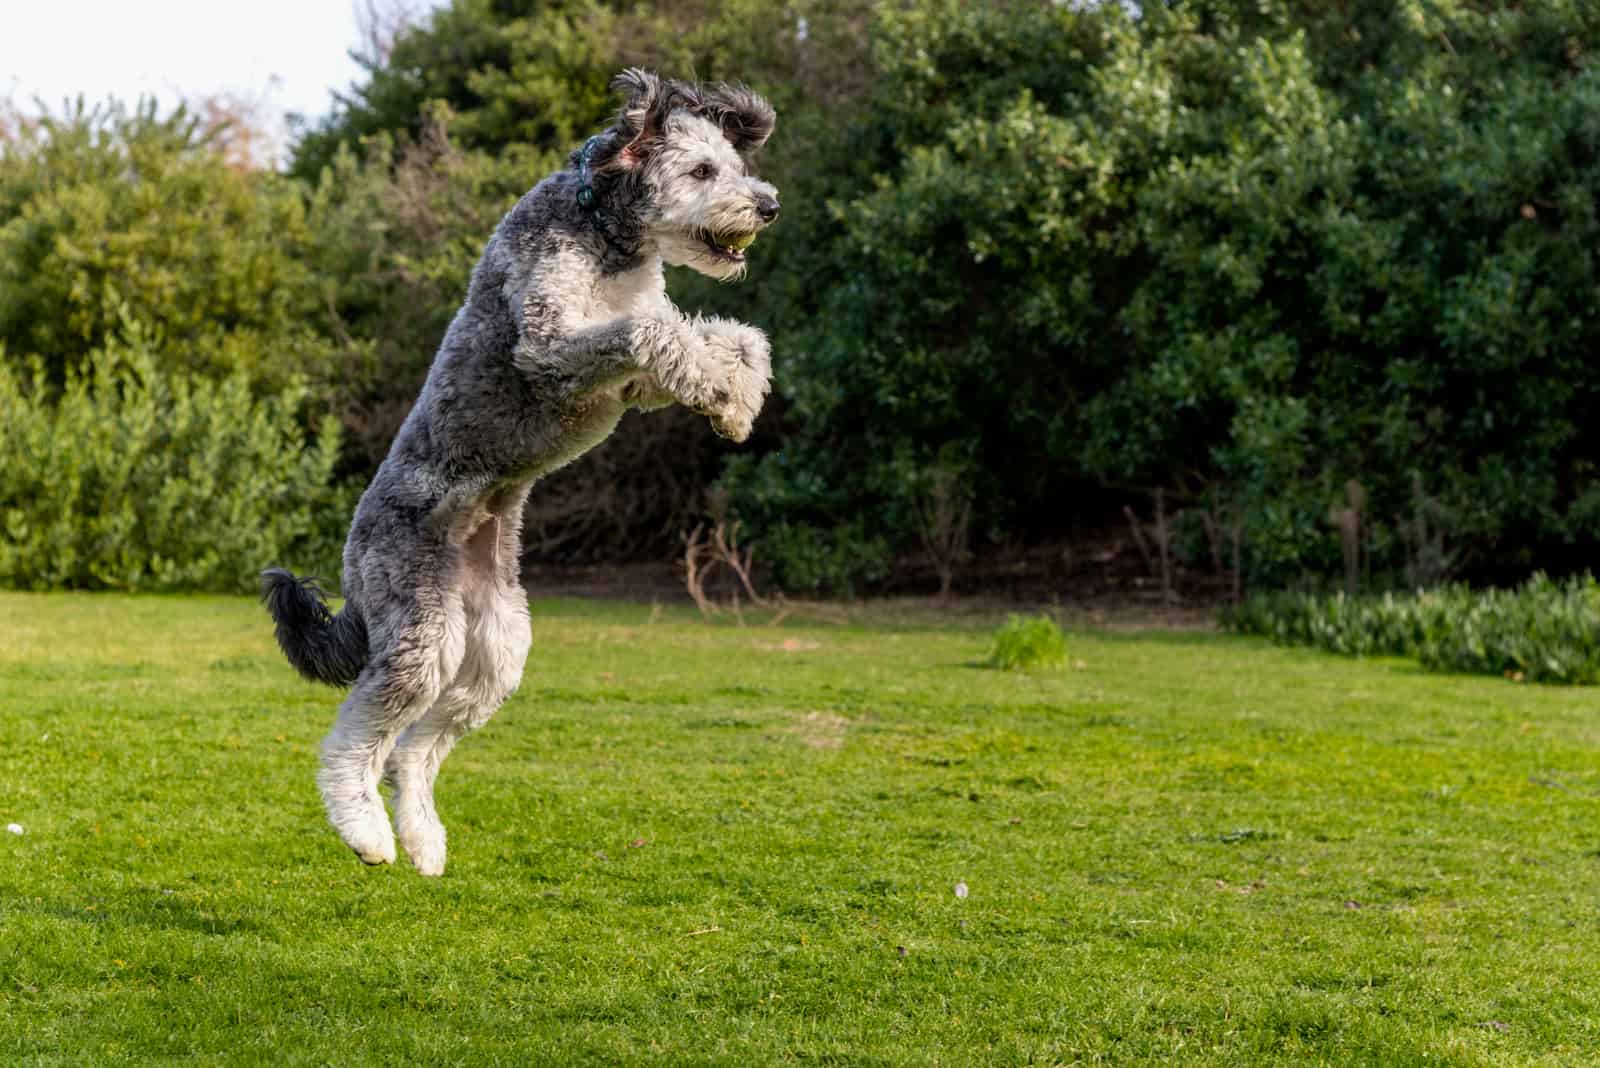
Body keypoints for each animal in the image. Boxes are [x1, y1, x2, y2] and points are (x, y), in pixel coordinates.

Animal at [260, 73, 780, 876]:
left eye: (733, 163)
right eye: (701, 171)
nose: (768, 203)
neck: (602, 232)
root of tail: (354, 551)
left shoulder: (630, 381)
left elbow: (728, 335)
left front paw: (738, 397)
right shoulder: (550, 343)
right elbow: (651, 331)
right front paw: (721, 389)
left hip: (495, 650)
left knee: (413, 754)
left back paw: (423, 841)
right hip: (420, 632)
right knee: (354, 744)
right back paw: (368, 833)